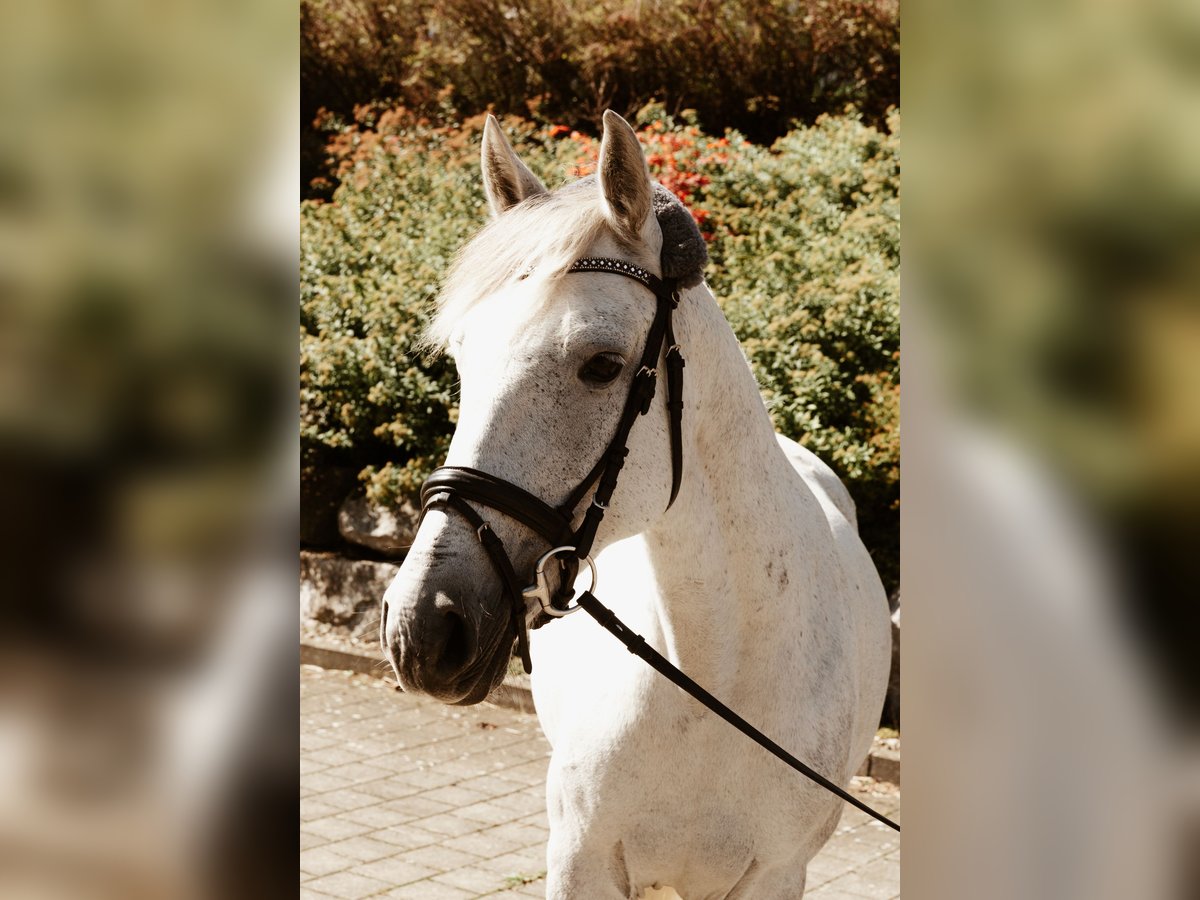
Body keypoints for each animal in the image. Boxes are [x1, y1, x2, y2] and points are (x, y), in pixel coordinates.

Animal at [382, 110, 892, 899]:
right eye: (464, 361)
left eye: (601, 365)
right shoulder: (580, 861)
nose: (422, 627)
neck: (714, 667)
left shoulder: (775, 875)